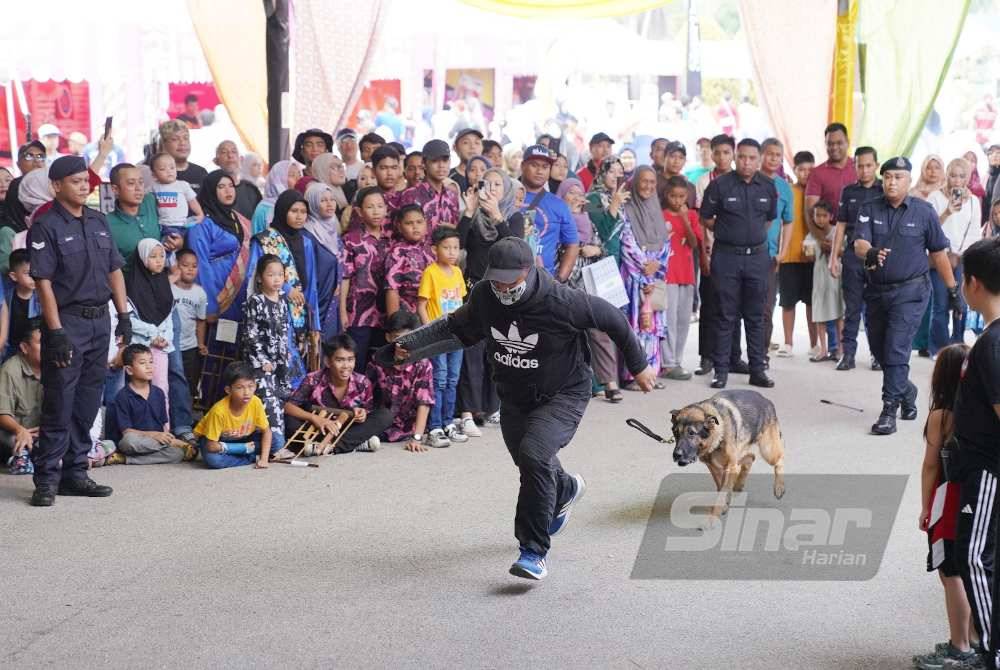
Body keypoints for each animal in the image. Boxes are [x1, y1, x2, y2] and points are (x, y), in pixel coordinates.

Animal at [668, 388, 784, 532]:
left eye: (691, 433)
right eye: (675, 432)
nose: (676, 455)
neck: (718, 434)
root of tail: (765, 400)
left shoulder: (729, 467)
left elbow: (721, 493)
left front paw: (711, 519)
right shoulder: (715, 467)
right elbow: (721, 488)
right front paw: (724, 504)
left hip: (768, 450)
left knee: (779, 460)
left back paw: (779, 487)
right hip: (739, 456)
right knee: (750, 458)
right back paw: (739, 484)